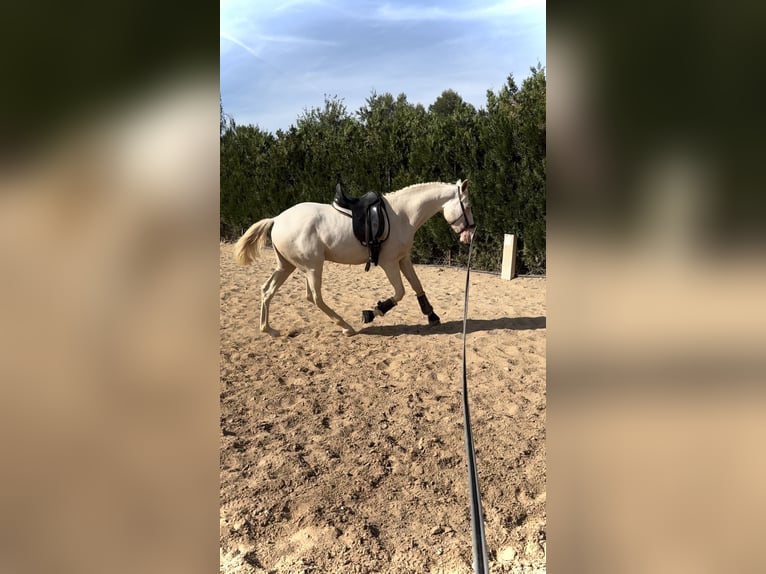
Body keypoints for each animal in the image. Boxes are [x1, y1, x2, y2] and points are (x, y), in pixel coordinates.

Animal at [232, 180, 474, 338]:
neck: (401, 215)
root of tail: (277, 219)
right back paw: (346, 326)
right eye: (468, 206)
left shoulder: (403, 259)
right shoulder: (388, 263)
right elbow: (400, 292)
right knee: (315, 298)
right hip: (312, 267)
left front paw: (432, 316)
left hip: (287, 266)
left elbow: (417, 286)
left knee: (268, 290)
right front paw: (372, 312)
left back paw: (268, 329)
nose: (470, 235)